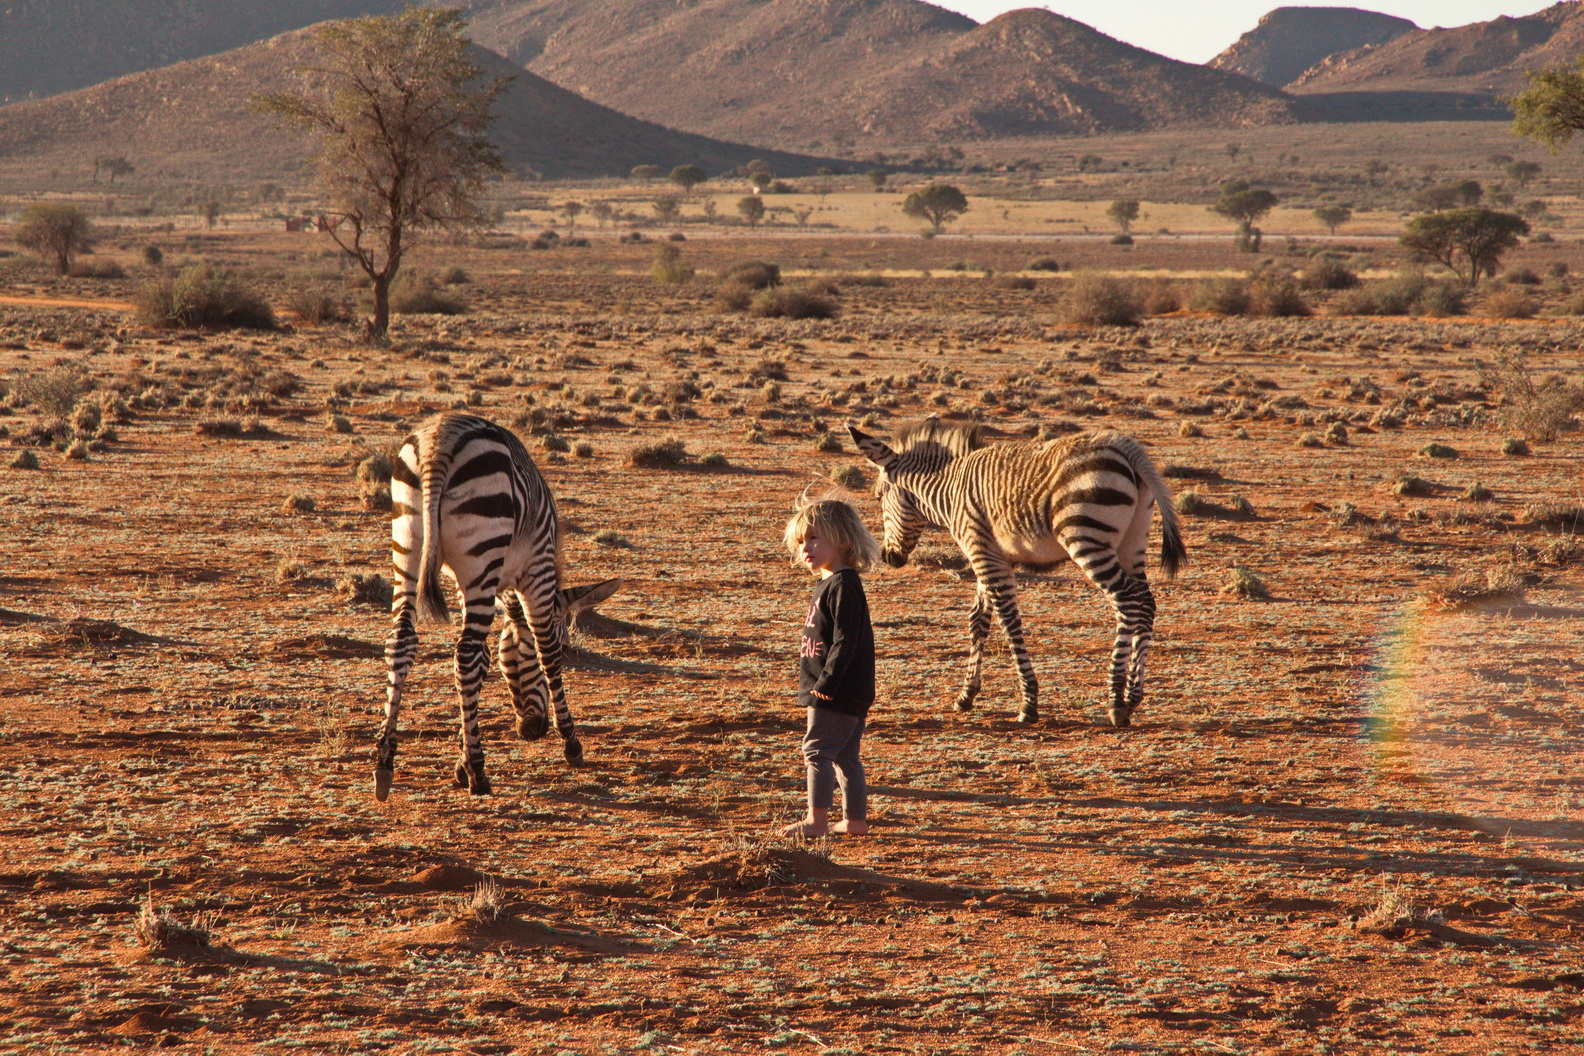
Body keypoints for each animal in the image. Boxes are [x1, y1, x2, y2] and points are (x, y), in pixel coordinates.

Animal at [373, 411, 620, 801]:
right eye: (568, 646)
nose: (533, 730)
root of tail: (439, 440)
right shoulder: (537, 571)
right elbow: (546, 652)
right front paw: (571, 743)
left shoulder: (467, 584)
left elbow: (487, 660)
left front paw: (460, 761)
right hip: (482, 546)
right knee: (466, 655)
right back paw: (479, 774)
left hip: (407, 543)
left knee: (402, 641)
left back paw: (384, 766)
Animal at [849, 417, 1184, 731]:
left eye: (878, 496)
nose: (888, 557)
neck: (949, 489)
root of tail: (1126, 447)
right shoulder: (994, 555)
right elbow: (978, 620)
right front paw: (966, 695)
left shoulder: (981, 552)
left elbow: (1008, 622)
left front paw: (1028, 703)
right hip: (1133, 540)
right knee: (1146, 602)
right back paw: (1132, 696)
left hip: (1086, 535)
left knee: (1126, 600)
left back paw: (1115, 701)